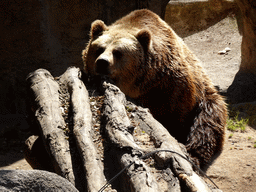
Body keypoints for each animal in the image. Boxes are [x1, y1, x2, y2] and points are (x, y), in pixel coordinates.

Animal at [81, 9, 226, 166]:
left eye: (118, 52)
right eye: (99, 48)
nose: (102, 62)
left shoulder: (170, 87)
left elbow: (175, 117)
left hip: (206, 97)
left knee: (206, 123)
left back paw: (195, 153)